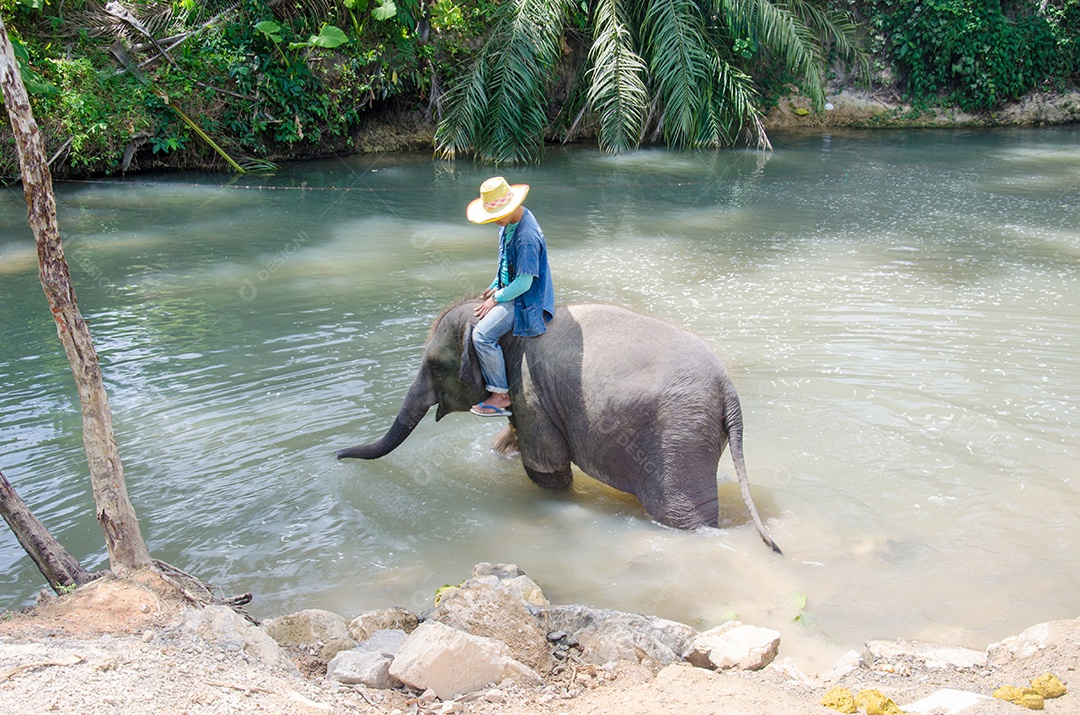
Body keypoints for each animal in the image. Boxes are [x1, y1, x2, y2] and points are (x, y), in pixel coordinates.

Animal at [336, 299, 781, 553]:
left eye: (433, 365)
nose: (337, 455)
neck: (504, 322)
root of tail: (728, 390)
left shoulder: (531, 387)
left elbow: (546, 465)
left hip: (679, 434)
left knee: (683, 515)